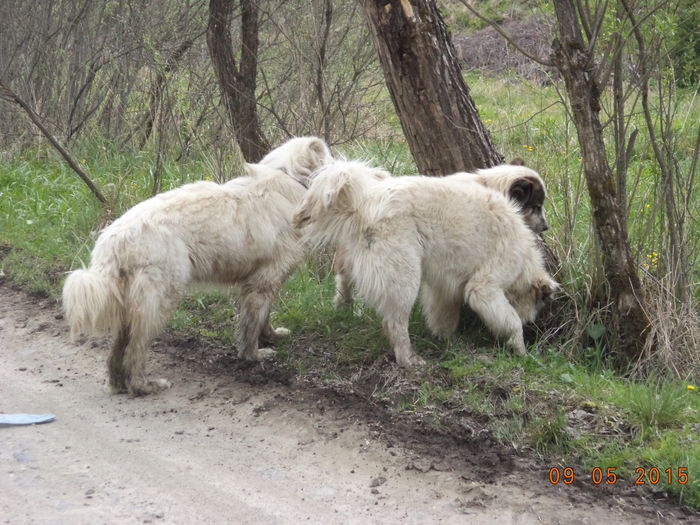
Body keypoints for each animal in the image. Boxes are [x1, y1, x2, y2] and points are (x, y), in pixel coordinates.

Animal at [62, 135, 330, 392]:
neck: (290, 177)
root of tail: (114, 238)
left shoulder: (262, 282)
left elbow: (263, 318)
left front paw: (272, 336)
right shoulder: (264, 281)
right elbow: (251, 325)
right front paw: (253, 355)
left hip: (132, 304)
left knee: (118, 350)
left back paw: (118, 383)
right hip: (160, 300)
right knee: (135, 350)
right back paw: (143, 386)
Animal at [296, 162, 556, 366]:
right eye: (536, 206)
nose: (545, 227)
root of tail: (365, 202)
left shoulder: (445, 287)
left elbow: (444, 317)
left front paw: (449, 341)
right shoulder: (484, 287)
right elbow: (511, 321)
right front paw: (521, 350)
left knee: (345, 284)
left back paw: (343, 310)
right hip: (403, 277)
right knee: (395, 323)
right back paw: (408, 358)